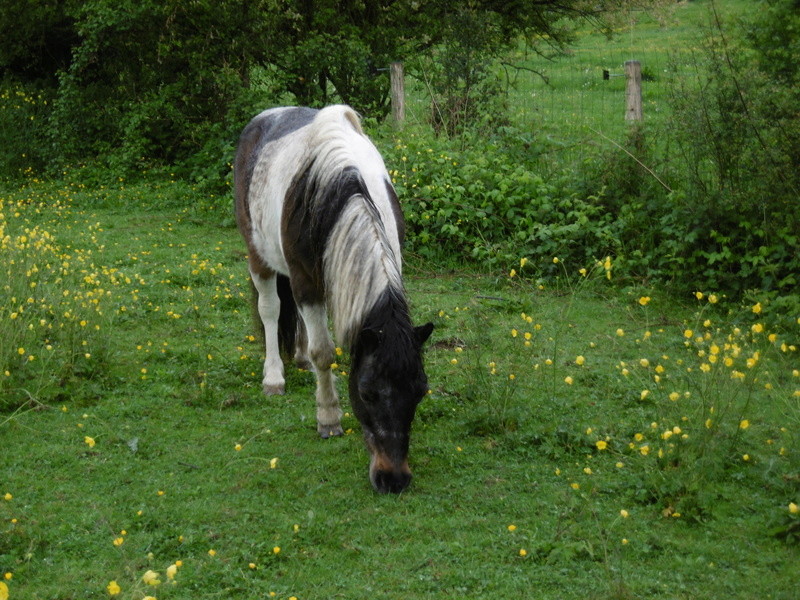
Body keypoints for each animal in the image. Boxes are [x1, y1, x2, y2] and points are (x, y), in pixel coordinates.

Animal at [233, 105, 432, 494]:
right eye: (367, 392)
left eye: (420, 392)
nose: (394, 480)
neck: (344, 188)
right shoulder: (306, 281)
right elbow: (324, 352)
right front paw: (328, 417)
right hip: (259, 256)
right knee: (270, 311)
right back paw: (274, 377)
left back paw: (298, 359)